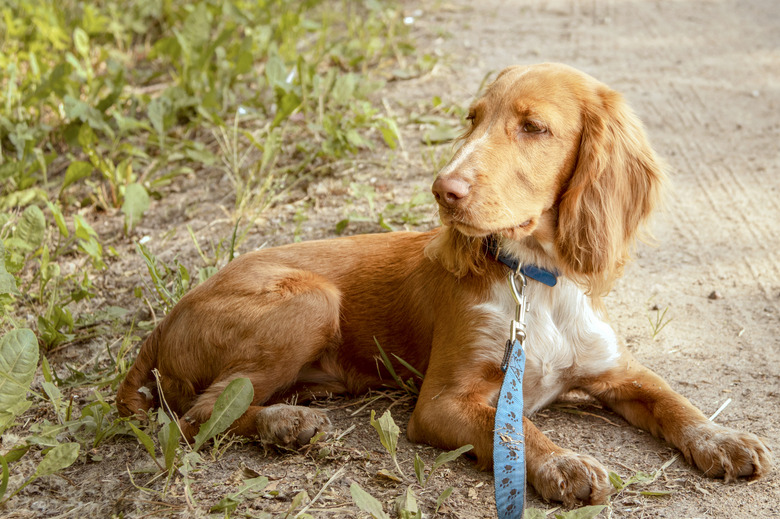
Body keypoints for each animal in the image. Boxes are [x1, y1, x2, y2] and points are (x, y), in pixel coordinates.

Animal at [119, 63, 772, 506]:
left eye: (533, 127)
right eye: (473, 119)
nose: (443, 190)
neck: (534, 282)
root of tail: (163, 323)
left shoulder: (617, 371)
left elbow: (675, 400)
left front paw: (724, 439)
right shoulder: (441, 403)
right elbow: (510, 428)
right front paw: (562, 465)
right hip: (310, 300)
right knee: (201, 412)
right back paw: (285, 425)